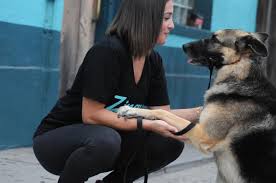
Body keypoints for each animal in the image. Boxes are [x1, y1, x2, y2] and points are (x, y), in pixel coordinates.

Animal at [117, 29, 276, 182]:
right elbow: (166, 112)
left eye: (214, 39)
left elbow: (164, 112)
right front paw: (134, 111)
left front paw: (129, 109)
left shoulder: (202, 135)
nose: (183, 46)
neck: (239, 72)